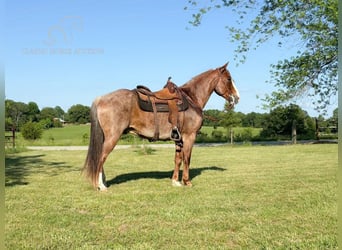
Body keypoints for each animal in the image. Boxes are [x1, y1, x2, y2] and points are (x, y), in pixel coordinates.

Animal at [83, 63, 239, 190]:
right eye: (229, 79)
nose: (236, 98)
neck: (191, 99)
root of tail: (101, 99)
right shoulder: (189, 136)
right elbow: (187, 159)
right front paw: (187, 181)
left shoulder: (178, 139)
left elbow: (178, 159)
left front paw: (175, 181)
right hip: (112, 137)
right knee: (101, 157)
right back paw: (101, 186)